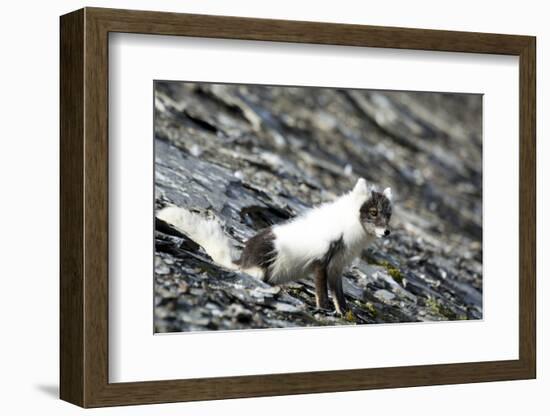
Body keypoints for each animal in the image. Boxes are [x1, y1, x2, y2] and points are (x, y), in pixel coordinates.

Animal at [157, 178, 394, 316]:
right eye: (373, 213)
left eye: (388, 215)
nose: (387, 233)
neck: (349, 228)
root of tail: (242, 260)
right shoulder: (321, 260)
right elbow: (322, 292)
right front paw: (323, 310)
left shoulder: (336, 267)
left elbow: (339, 294)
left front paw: (345, 313)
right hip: (261, 268)